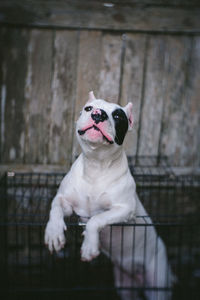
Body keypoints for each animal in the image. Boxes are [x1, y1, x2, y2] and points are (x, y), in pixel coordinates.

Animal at [44, 91, 174, 300]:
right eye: (88, 108)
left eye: (118, 116)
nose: (98, 114)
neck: (96, 166)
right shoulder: (64, 200)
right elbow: (55, 208)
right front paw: (54, 233)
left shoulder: (124, 210)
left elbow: (95, 219)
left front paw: (89, 246)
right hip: (124, 285)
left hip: (158, 283)